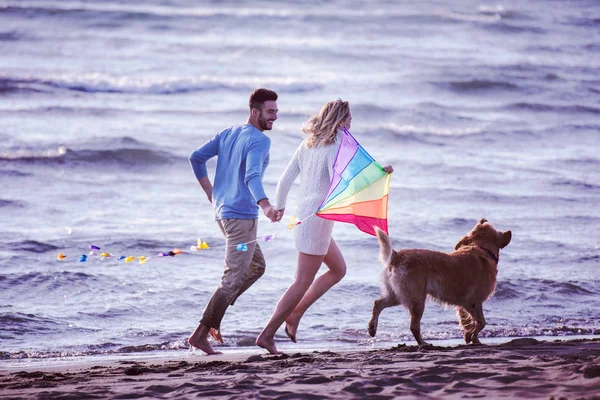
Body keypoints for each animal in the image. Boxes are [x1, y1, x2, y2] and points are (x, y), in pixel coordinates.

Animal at [370, 217, 510, 346]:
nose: (509, 232)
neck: (480, 248)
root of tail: (397, 255)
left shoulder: (465, 305)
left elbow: (470, 323)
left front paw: (470, 337)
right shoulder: (474, 302)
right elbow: (481, 323)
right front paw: (473, 338)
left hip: (399, 295)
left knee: (378, 303)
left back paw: (372, 328)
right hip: (417, 300)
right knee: (414, 326)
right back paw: (423, 343)